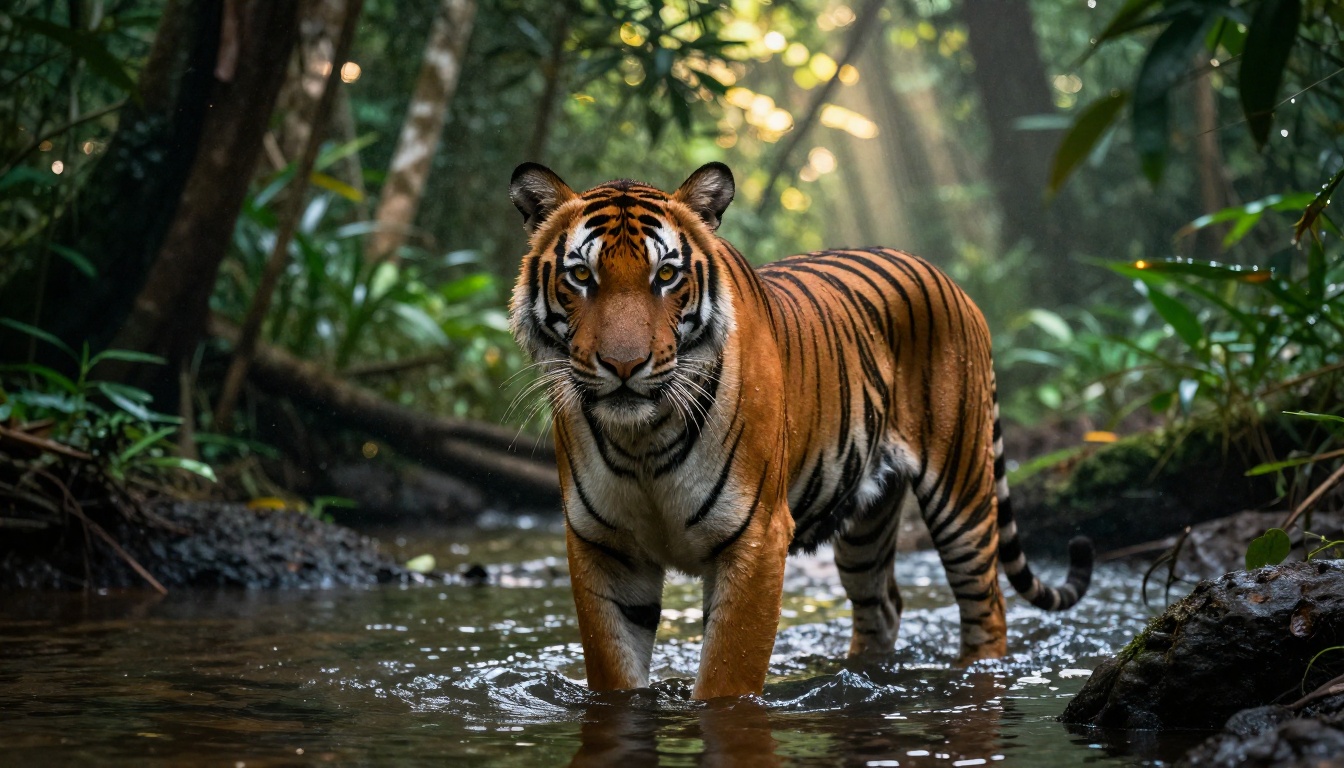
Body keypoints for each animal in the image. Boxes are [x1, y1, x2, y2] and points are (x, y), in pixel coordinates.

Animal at [507, 161, 1093, 701]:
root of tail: (947, 277)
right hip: (865, 525)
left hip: (962, 493)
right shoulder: (602, 546)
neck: (642, 440)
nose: (624, 365)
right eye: (582, 277)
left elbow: (727, 678)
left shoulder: (755, 536)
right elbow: (615, 673)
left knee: (986, 606)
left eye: (666, 276)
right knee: (882, 606)